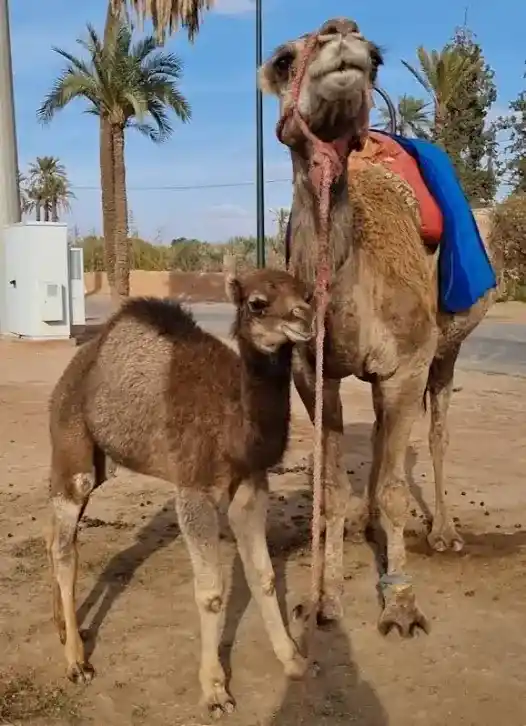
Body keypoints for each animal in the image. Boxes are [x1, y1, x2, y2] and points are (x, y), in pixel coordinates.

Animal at [46, 268, 312, 715]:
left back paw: (65, 630)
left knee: (58, 536)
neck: (232, 422)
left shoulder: (250, 482)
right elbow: (211, 593)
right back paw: (76, 663)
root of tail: (70, 373)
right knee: (65, 545)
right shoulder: (193, 489)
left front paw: (293, 659)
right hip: (71, 443)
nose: (305, 319)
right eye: (257, 303)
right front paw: (216, 690)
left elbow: (264, 576)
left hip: (102, 463)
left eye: (307, 293)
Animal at [259, 17, 495, 636]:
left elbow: (393, 489)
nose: (340, 33)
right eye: (284, 59)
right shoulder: (313, 371)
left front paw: (402, 604)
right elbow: (332, 487)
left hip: (445, 349)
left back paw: (443, 532)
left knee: (434, 433)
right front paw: (325, 599)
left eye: (376, 57)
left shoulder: (408, 363)